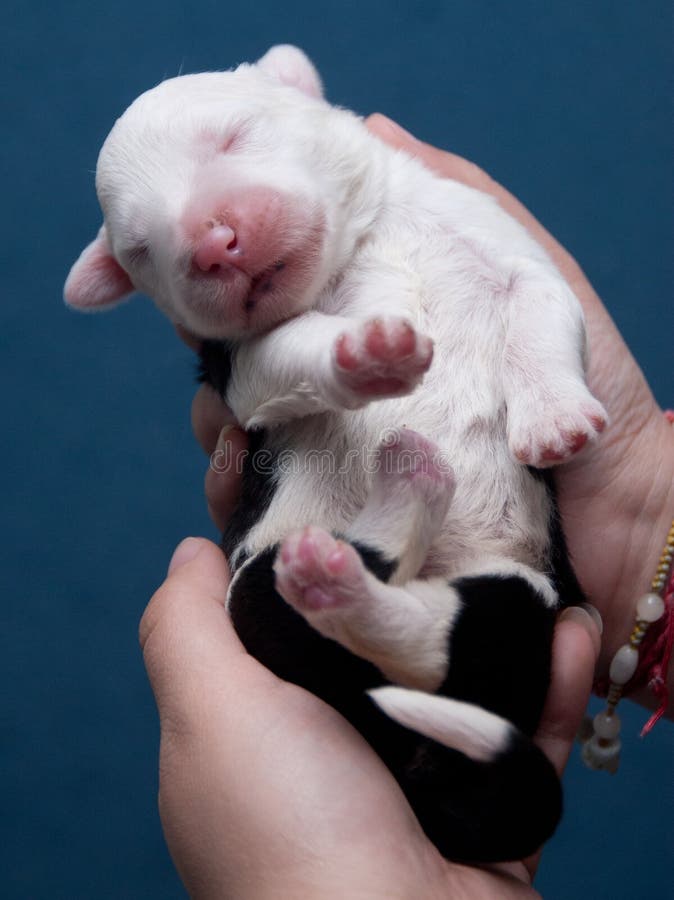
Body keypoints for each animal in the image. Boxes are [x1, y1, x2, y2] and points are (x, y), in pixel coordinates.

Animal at [65, 45, 608, 860]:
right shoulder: (244, 363)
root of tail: (392, 736)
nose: (210, 241)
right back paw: (368, 530)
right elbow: (296, 348)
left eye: (234, 135)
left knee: (458, 635)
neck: (360, 247)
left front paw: (556, 421)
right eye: (141, 246)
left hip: (523, 600)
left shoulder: (506, 244)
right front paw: (368, 348)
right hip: (253, 589)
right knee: (328, 617)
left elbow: (543, 308)